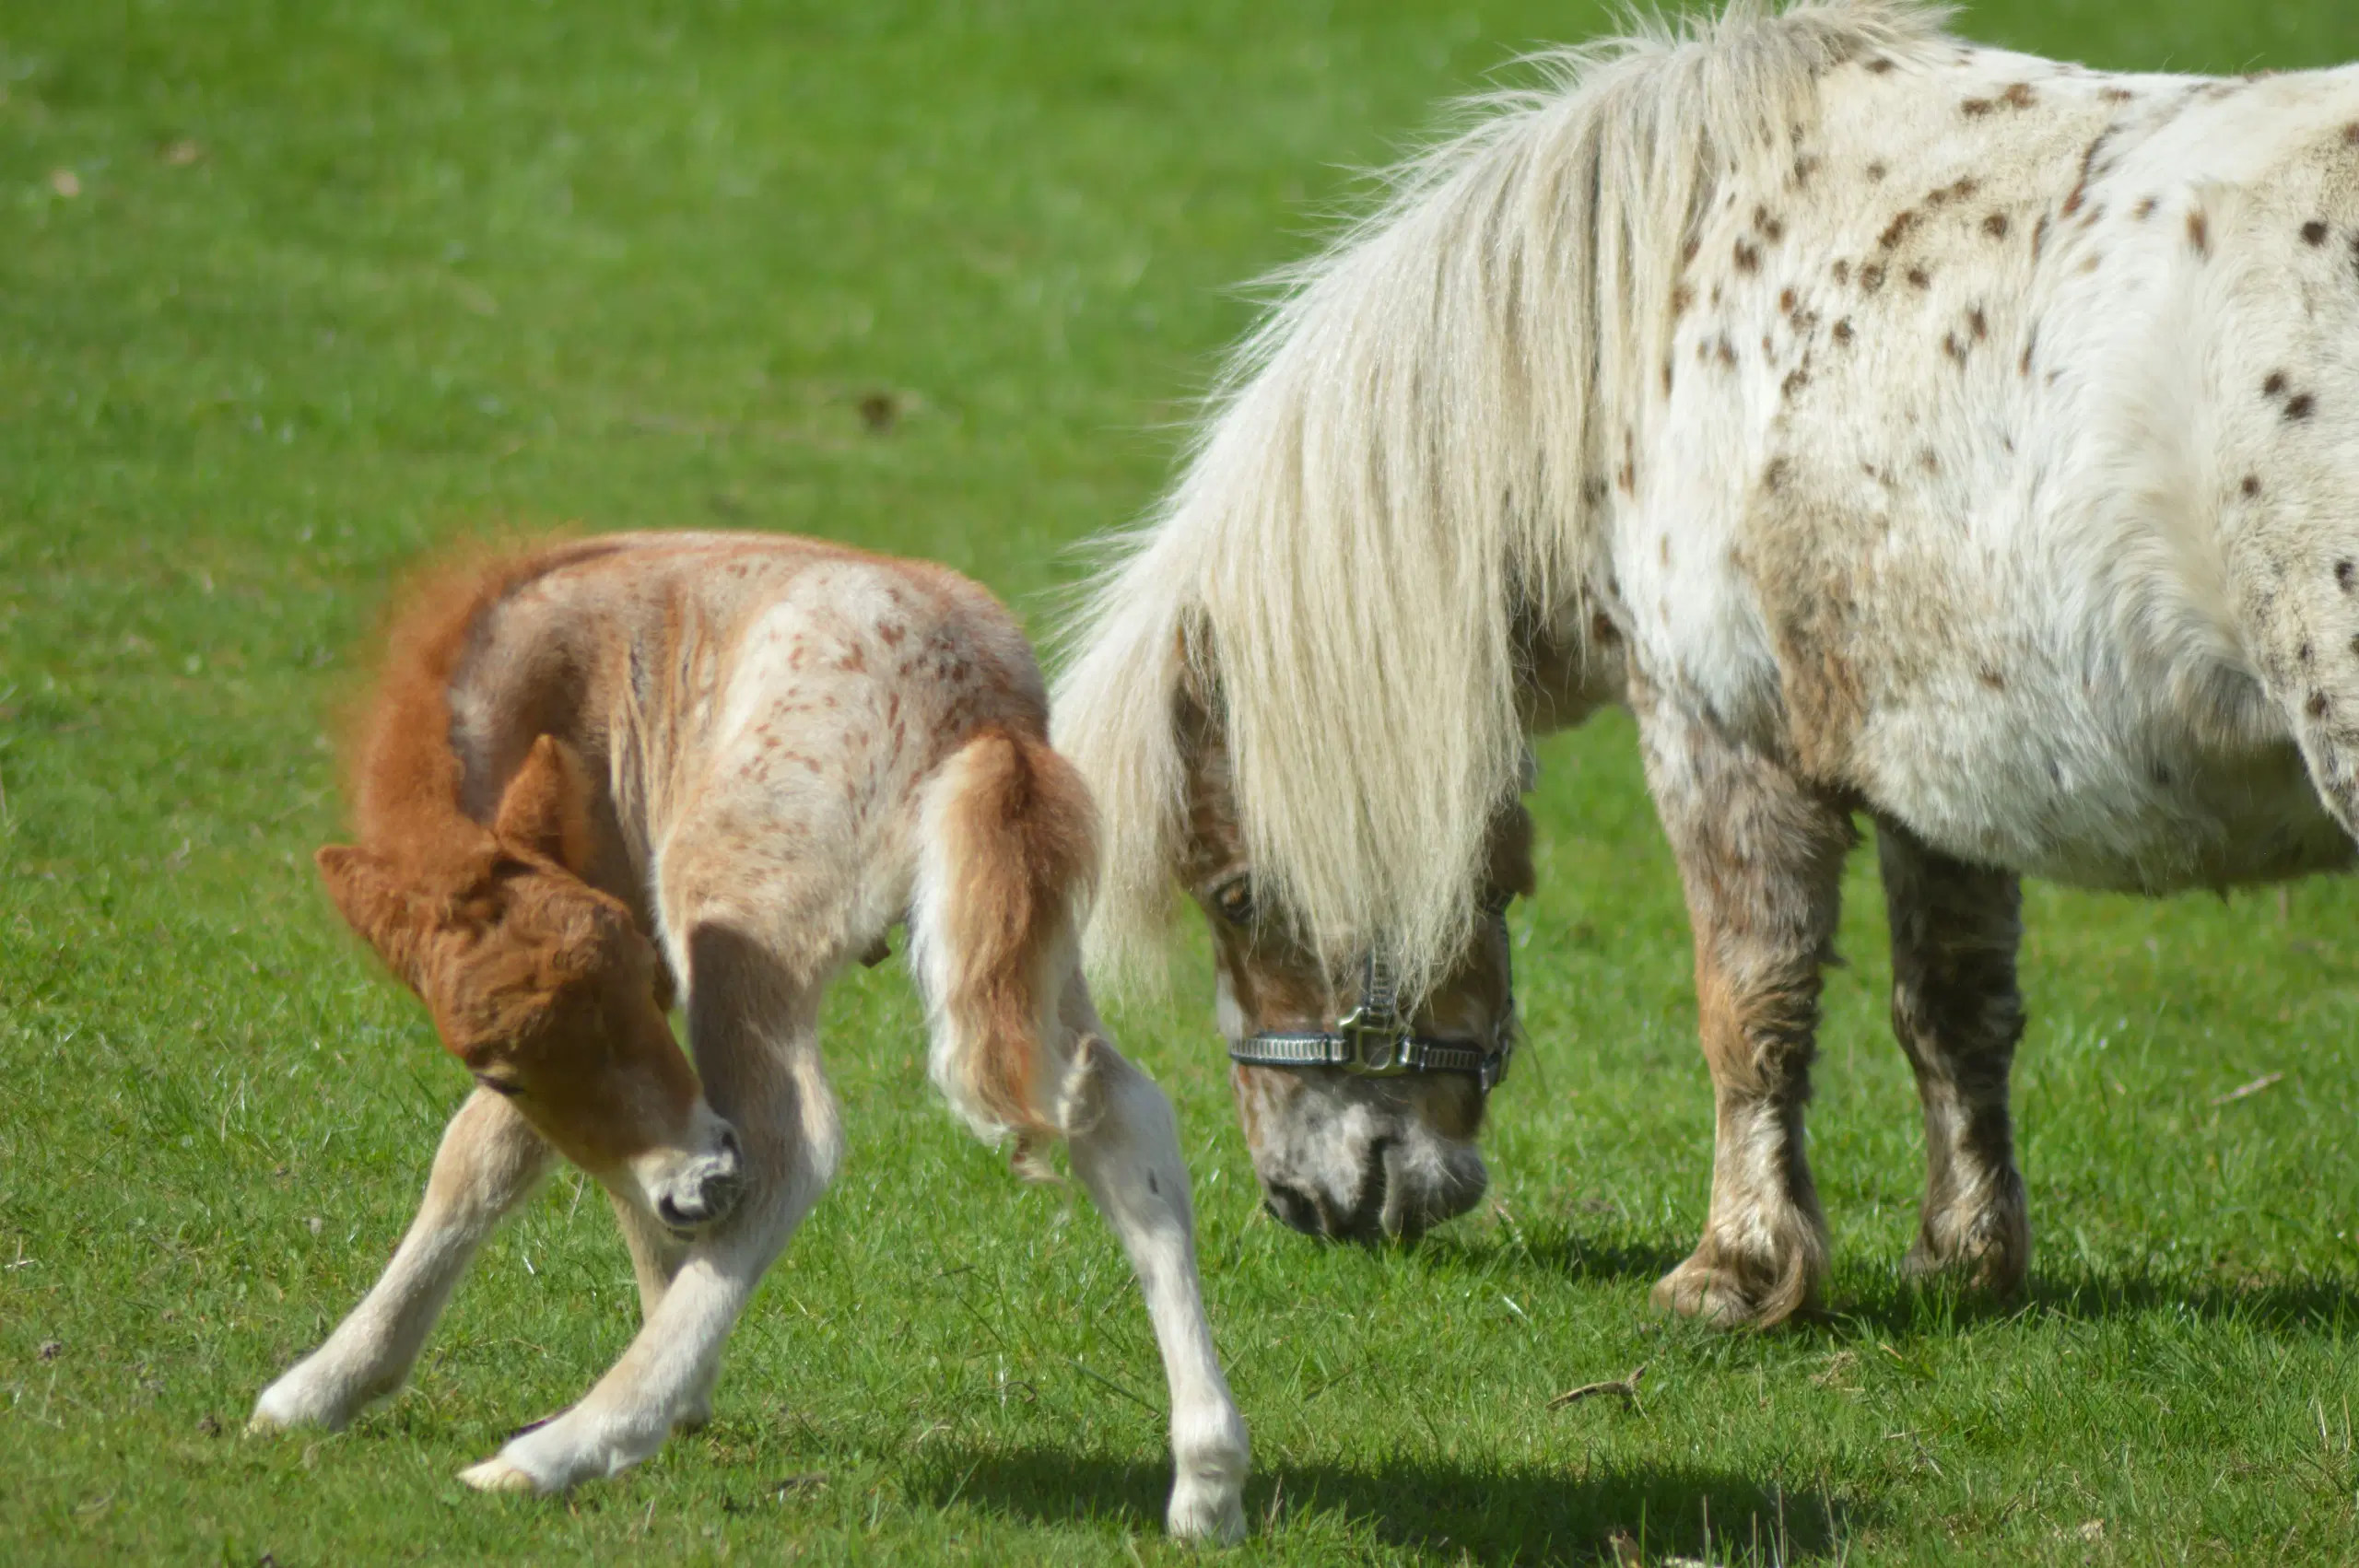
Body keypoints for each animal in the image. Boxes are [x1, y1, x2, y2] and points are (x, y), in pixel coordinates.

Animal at [251, 532, 1254, 1537]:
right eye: (508, 1069)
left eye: (647, 983)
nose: (699, 1189)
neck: (541, 675)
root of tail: (981, 704)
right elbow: (578, 1160)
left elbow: (481, 1157)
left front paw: (317, 1386)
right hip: (1017, 935)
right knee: (1117, 1114)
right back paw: (1207, 1483)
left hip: (731, 904)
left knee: (789, 1144)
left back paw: (563, 1447)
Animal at [1062, 0, 2359, 1320]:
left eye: (1234, 895)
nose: (1300, 1202)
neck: (1640, 333)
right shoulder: (1938, 764)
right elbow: (1951, 1013)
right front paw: (1963, 1258)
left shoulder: (1716, 736)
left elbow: (1749, 1008)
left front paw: (1733, 1266)